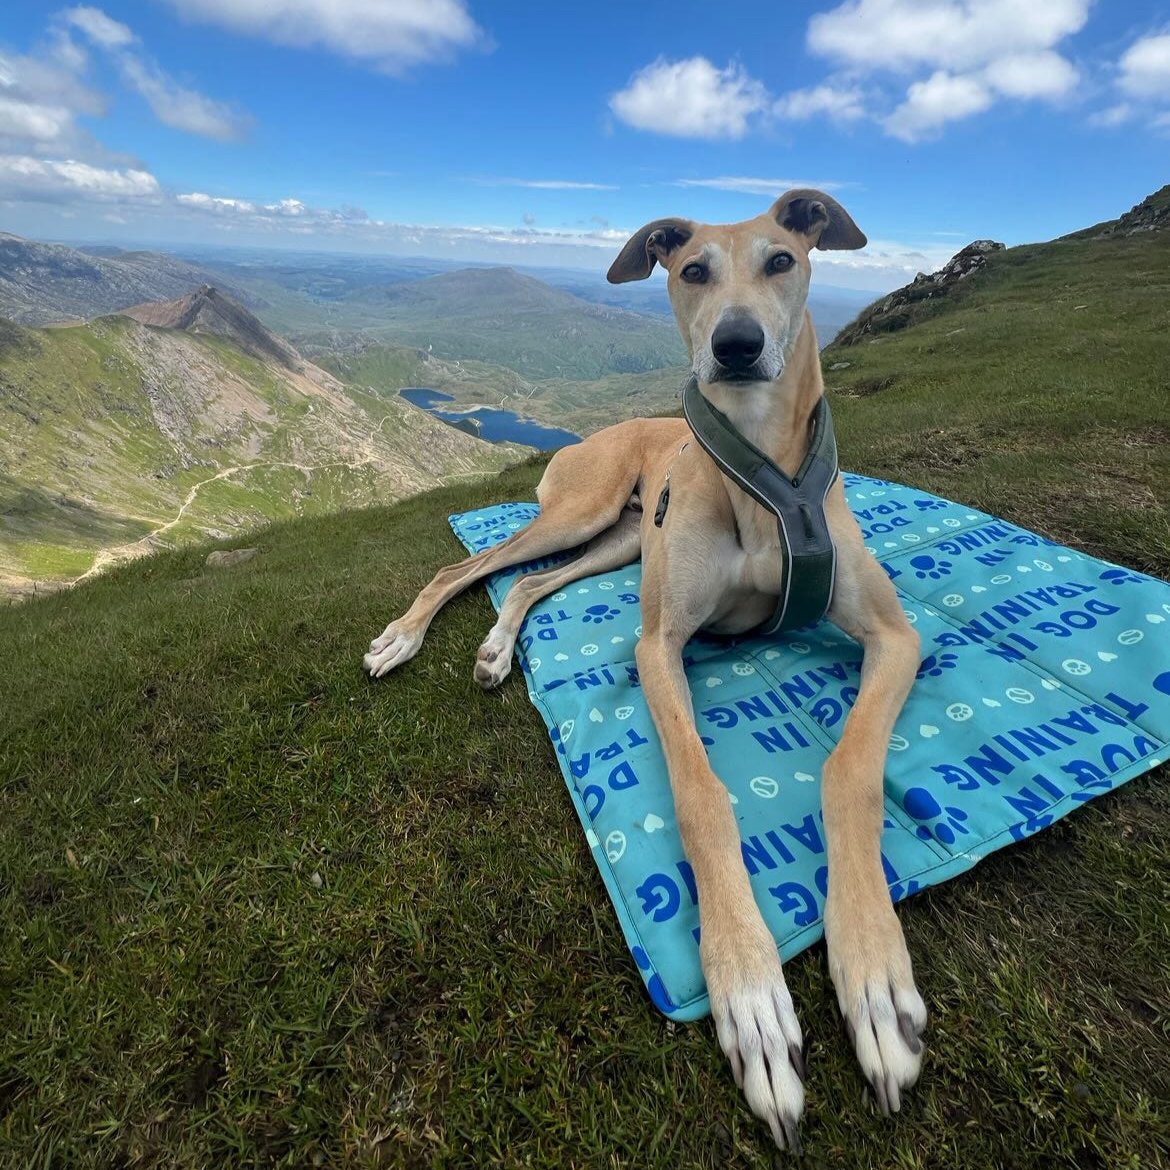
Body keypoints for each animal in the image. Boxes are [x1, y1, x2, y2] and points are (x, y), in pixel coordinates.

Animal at [360, 191, 926, 1151]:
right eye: (692, 270)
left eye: (783, 259)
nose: (735, 344)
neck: (762, 482)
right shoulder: (658, 646)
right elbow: (699, 796)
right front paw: (749, 992)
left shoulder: (896, 636)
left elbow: (850, 770)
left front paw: (876, 979)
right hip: (586, 509)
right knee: (471, 566)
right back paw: (404, 636)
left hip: (620, 537)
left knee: (530, 584)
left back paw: (496, 650)